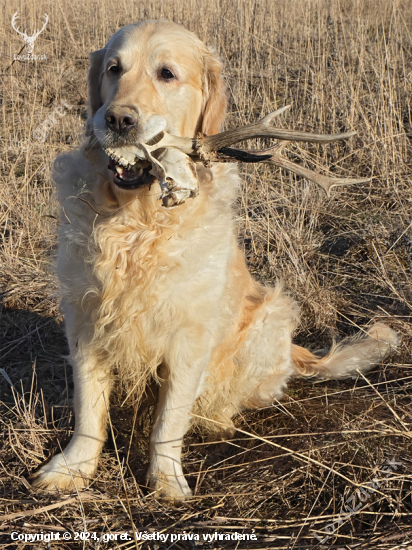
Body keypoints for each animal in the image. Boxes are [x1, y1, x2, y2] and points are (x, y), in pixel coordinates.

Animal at [32, 20, 400, 500]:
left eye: (167, 74)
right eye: (114, 68)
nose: (117, 120)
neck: (136, 226)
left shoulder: (190, 336)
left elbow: (169, 420)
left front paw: (167, 479)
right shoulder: (85, 320)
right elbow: (88, 410)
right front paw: (72, 469)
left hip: (270, 318)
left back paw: (215, 420)